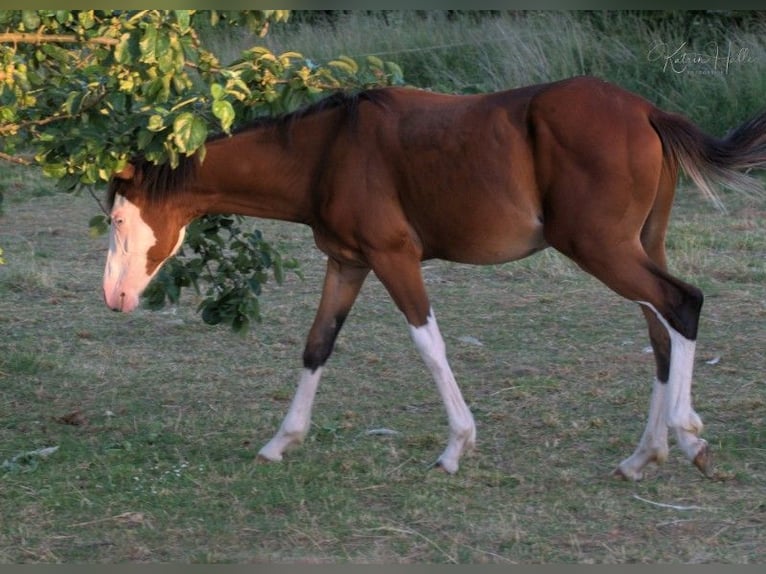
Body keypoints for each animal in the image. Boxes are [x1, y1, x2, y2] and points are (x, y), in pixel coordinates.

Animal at [103, 76, 766, 482]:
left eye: (117, 219)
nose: (115, 297)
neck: (328, 151)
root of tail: (647, 111)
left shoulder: (394, 256)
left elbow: (429, 343)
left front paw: (455, 447)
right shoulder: (348, 262)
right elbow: (317, 346)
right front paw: (280, 442)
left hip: (602, 249)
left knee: (683, 304)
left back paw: (688, 437)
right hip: (636, 247)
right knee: (661, 333)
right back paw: (643, 455)